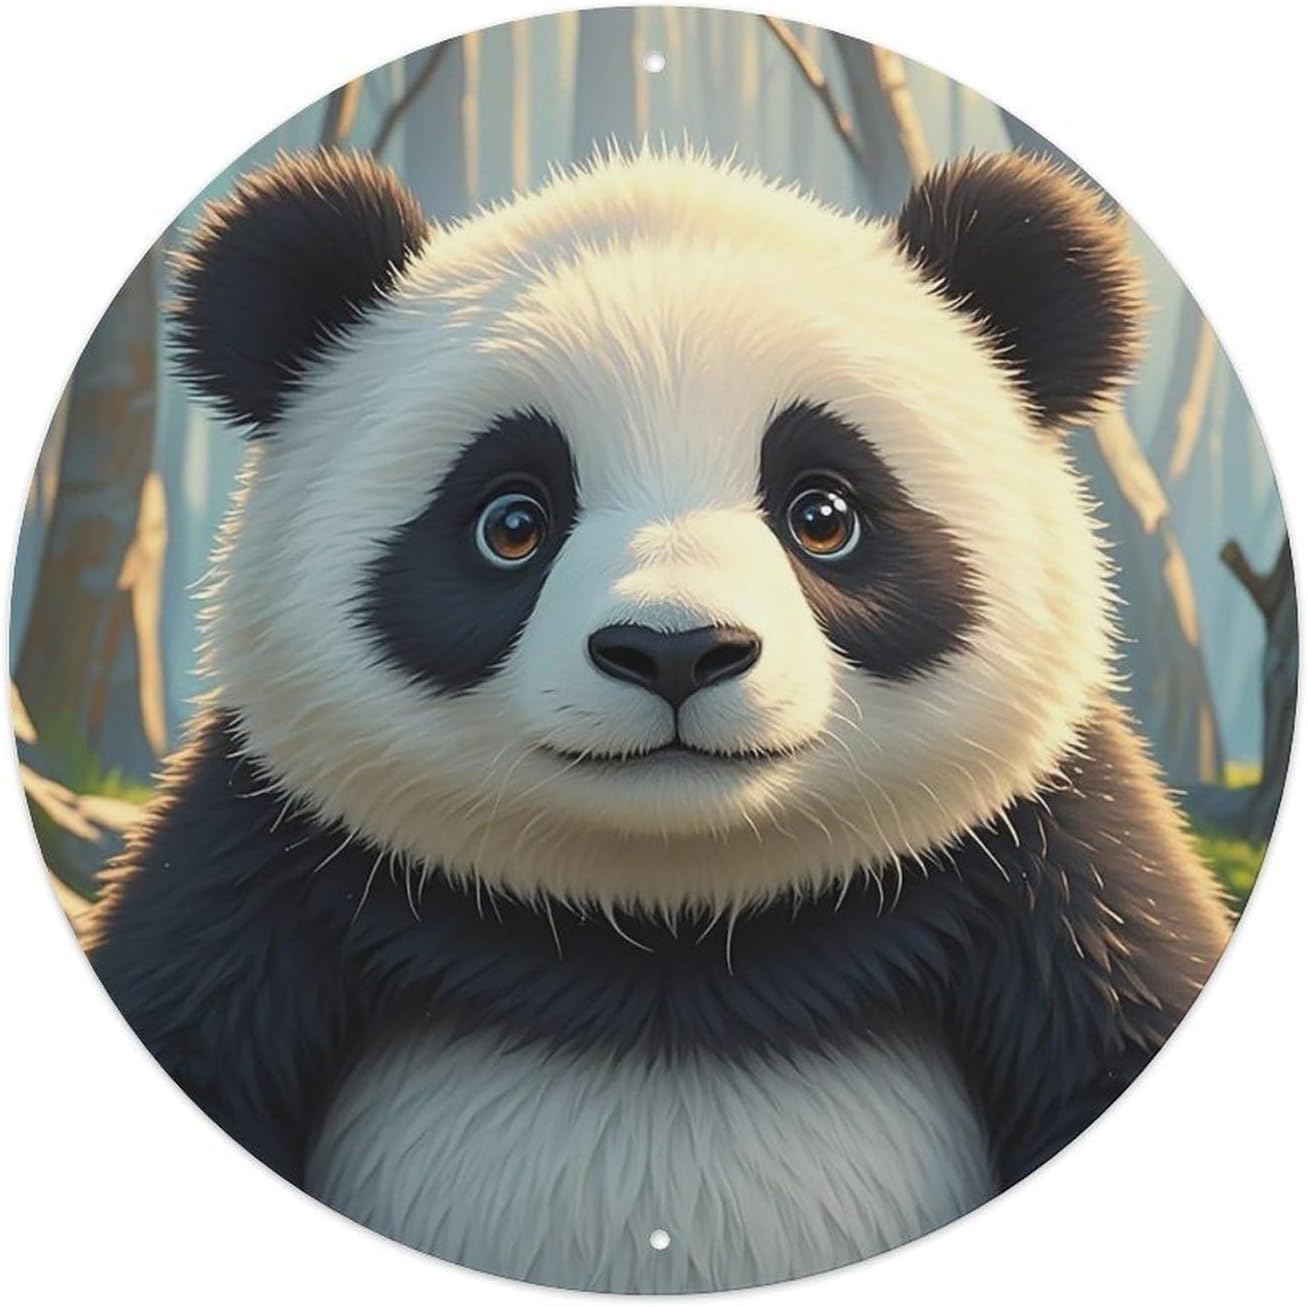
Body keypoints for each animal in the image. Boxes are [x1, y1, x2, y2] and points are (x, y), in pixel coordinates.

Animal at [85, 147, 1231, 1294]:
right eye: (512, 522)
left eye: (824, 514)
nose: (675, 650)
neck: (666, 932)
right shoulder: (263, 861)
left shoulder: (1052, 863)